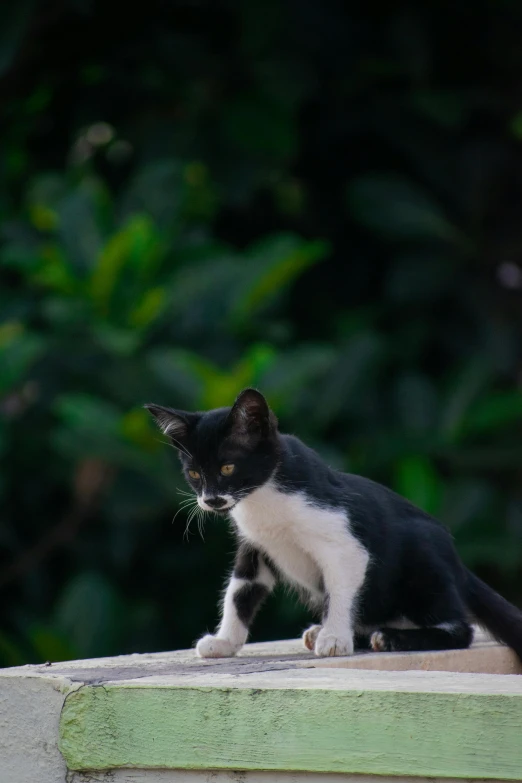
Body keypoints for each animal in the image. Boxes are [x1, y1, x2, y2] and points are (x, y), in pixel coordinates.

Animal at [144, 388, 520, 660]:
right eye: (194, 473)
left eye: (227, 468)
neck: (262, 497)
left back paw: (391, 637)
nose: (211, 500)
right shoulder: (254, 547)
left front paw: (336, 637)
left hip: (423, 556)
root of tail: (458, 565)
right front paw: (224, 642)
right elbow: (239, 592)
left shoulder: (342, 538)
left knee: (459, 628)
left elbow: (341, 588)